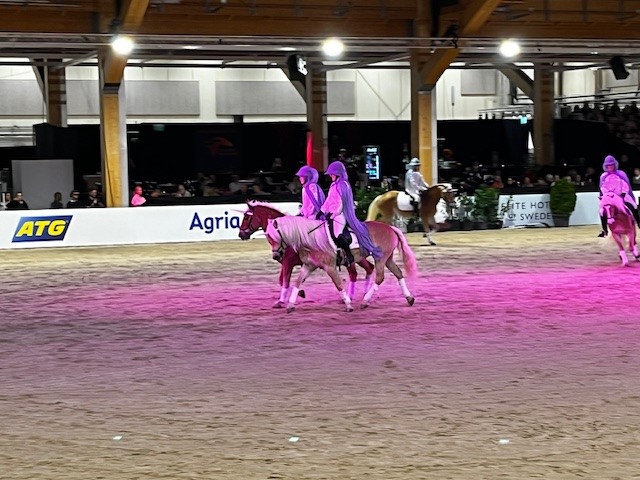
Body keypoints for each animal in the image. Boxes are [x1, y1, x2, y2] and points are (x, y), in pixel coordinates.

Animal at [239, 201, 375, 307]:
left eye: (246, 217)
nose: (241, 234)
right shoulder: (287, 263)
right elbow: (282, 280)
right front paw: (298, 293)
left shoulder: (288, 263)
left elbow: (285, 281)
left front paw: (282, 300)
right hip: (358, 258)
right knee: (369, 268)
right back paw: (364, 295)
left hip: (351, 260)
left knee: (354, 274)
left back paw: (353, 297)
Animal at [265, 216, 417, 312]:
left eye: (273, 237)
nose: (276, 256)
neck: (312, 239)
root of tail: (390, 227)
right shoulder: (308, 266)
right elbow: (297, 282)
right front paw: (290, 305)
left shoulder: (330, 268)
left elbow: (338, 284)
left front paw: (348, 305)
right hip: (388, 259)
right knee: (398, 273)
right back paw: (409, 298)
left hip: (380, 258)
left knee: (379, 277)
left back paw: (365, 301)